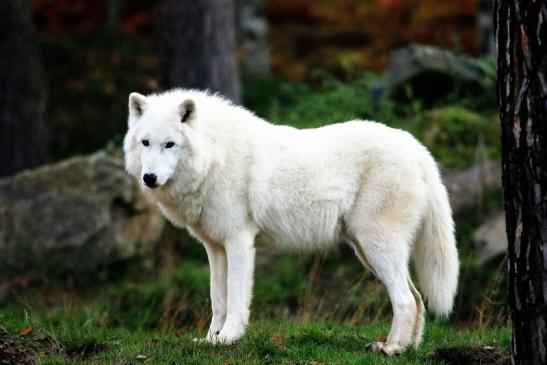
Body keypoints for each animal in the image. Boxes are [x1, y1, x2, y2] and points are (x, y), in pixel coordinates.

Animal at [123, 87, 458, 352]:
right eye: (145, 143)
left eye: (170, 144)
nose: (149, 178)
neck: (215, 157)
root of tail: (417, 148)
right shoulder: (215, 248)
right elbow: (218, 299)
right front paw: (210, 340)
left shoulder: (239, 241)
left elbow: (235, 299)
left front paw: (229, 338)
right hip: (367, 251)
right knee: (417, 298)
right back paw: (408, 347)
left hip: (377, 248)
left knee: (405, 299)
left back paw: (391, 348)